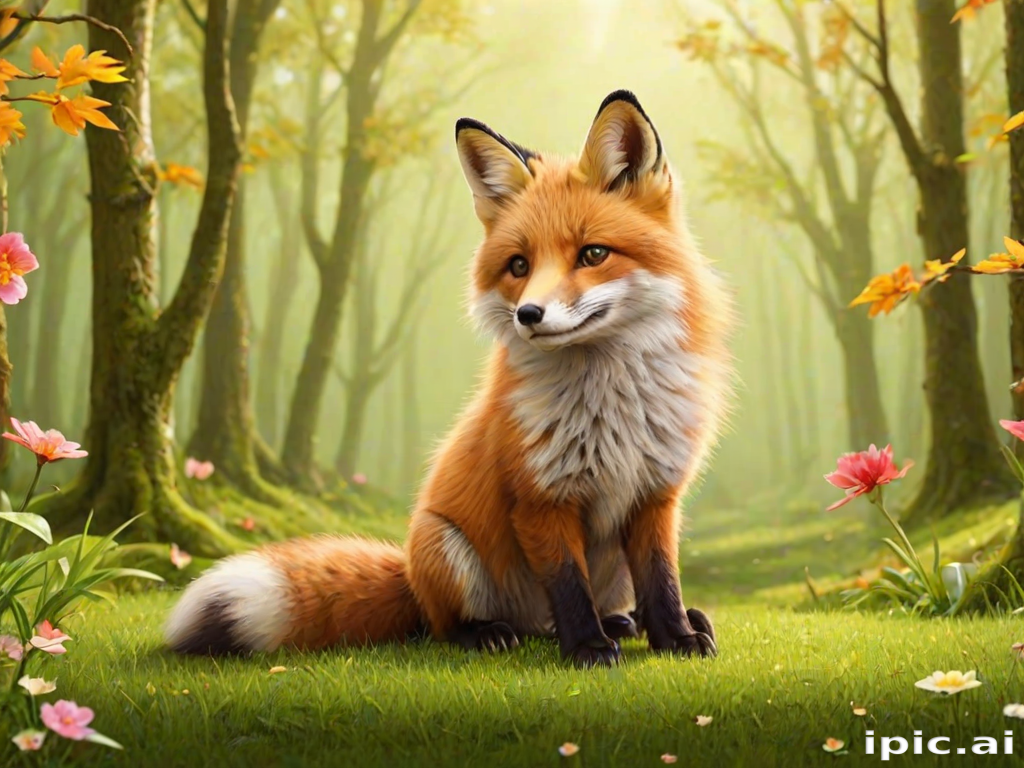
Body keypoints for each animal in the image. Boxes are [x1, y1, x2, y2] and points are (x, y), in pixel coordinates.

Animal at [165, 90, 733, 668]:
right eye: (519, 265)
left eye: (593, 254)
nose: (528, 315)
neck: (611, 402)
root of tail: (411, 576)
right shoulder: (539, 498)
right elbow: (570, 586)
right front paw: (589, 648)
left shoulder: (657, 495)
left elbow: (663, 581)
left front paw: (677, 638)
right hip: (444, 545)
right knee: (449, 627)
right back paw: (492, 633)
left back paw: (628, 622)